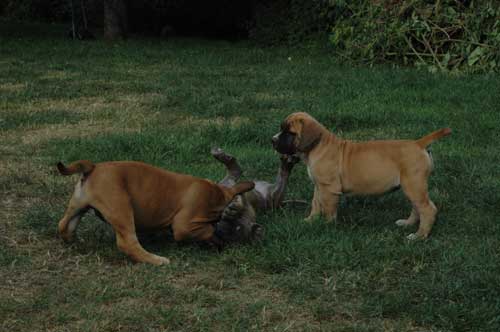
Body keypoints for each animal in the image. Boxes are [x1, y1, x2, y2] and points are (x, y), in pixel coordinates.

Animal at [56, 160, 256, 266]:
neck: (214, 192)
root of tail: (93, 167)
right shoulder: (184, 225)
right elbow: (205, 231)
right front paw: (216, 239)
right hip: (121, 208)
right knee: (128, 243)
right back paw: (156, 260)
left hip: (77, 206)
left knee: (64, 225)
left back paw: (73, 241)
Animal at [272, 113, 452, 240]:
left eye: (290, 133)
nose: (272, 140)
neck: (317, 146)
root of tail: (418, 143)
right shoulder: (319, 186)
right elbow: (315, 203)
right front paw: (310, 221)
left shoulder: (329, 189)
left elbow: (329, 210)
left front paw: (327, 226)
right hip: (412, 187)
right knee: (417, 208)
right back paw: (408, 224)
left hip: (413, 186)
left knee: (428, 209)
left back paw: (419, 236)